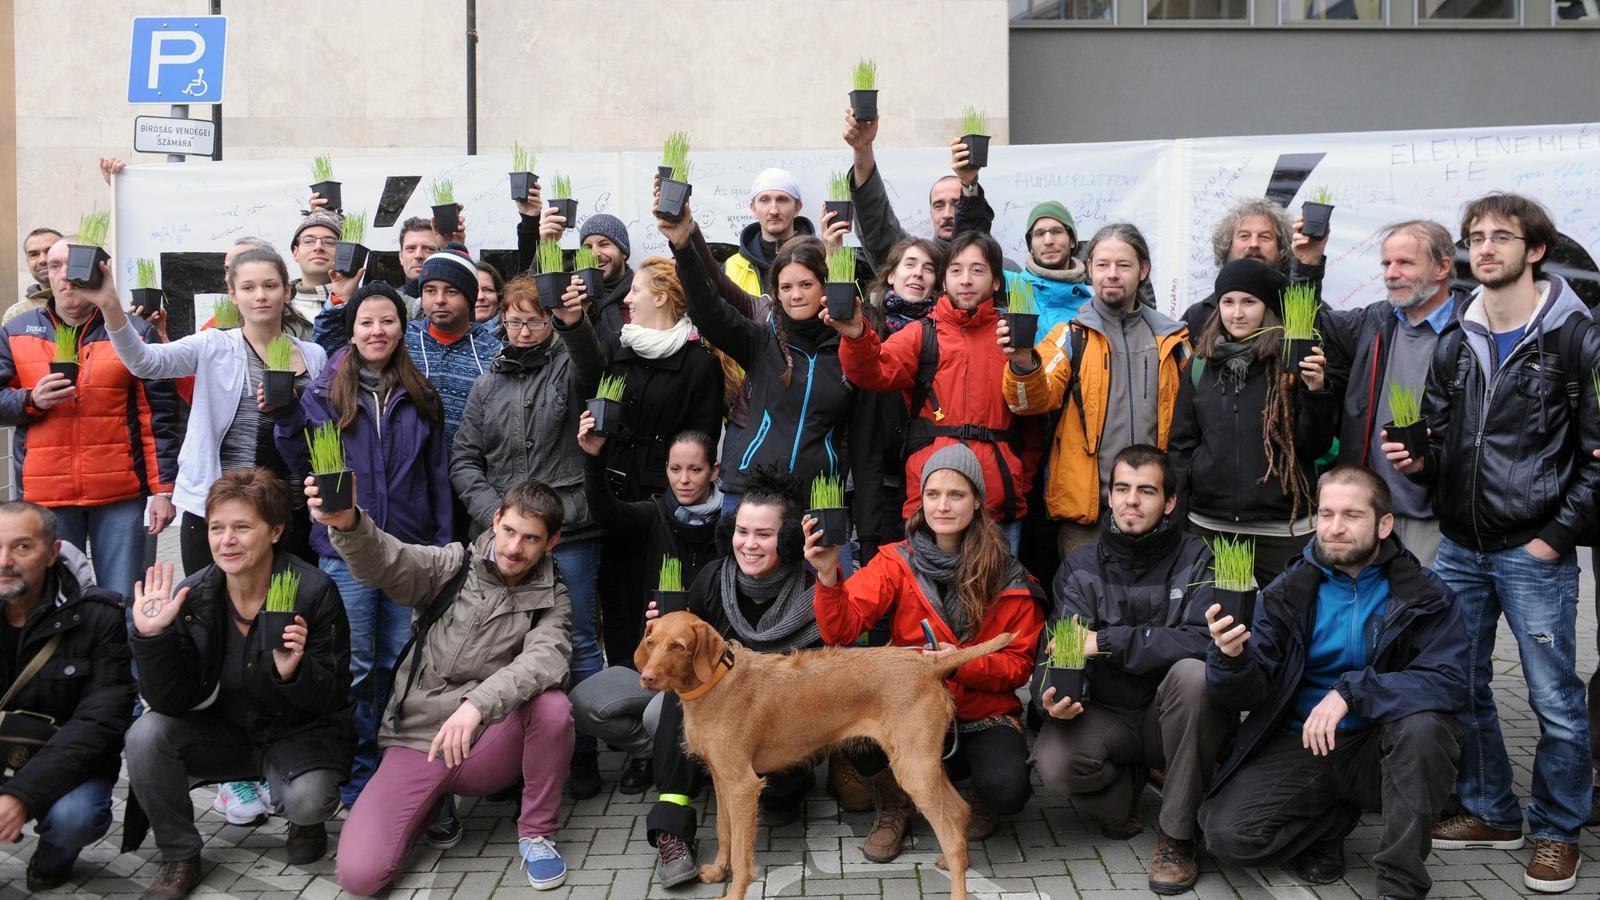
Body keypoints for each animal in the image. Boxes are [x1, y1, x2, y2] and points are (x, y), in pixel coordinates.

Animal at [633, 605, 1011, 890]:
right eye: (651, 641)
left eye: (678, 646)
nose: (646, 678)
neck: (716, 682)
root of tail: (929, 663)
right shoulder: (722, 778)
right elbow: (724, 832)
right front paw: (716, 871)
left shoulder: (742, 785)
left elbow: (743, 856)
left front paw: (733, 891)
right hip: (923, 763)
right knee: (959, 812)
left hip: (914, 769)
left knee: (952, 834)